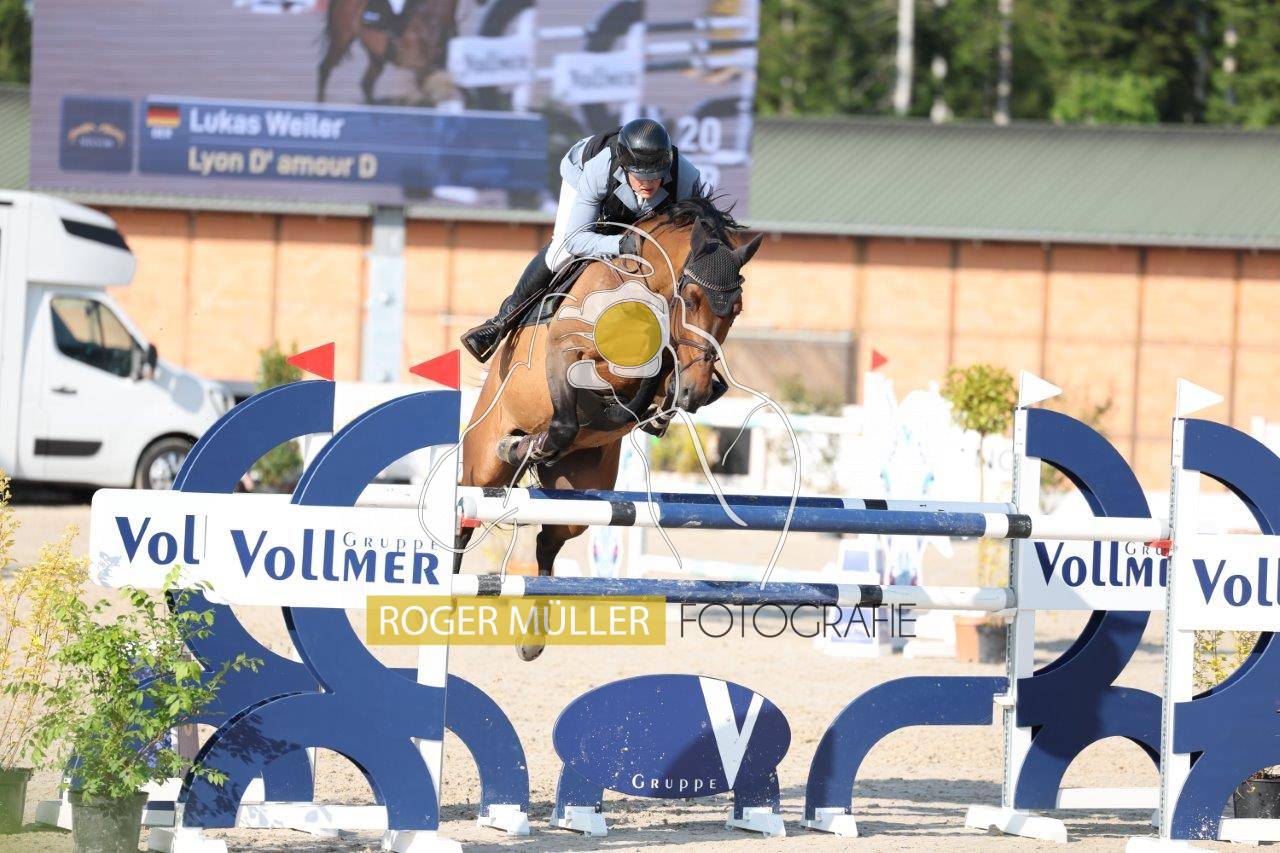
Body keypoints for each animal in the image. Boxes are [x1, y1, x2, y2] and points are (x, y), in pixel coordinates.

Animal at [317, 0, 459, 104]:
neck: (432, 15)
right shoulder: (423, 69)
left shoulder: (436, 67)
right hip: (341, 39)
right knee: (325, 68)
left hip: (376, 55)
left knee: (367, 84)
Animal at [455, 196, 763, 606]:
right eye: (691, 299)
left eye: (736, 309)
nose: (694, 393)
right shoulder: (568, 352)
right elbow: (594, 397)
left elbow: (655, 377)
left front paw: (656, 410)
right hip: (481, 469)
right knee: (465, 521)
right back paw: (519, 447)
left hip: (577, 495)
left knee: (547, 542)